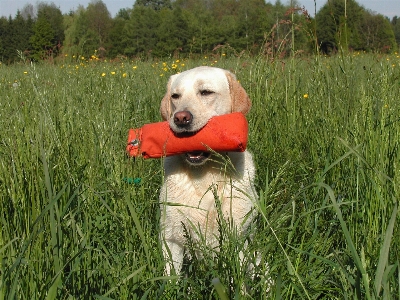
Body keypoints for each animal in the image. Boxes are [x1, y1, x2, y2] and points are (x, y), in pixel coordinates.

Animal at [159, 65, 256, 274]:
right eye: (175, 96)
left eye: (206, 92)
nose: (181, 118)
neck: (204, 176)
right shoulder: (171, 238)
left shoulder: (237, 237)